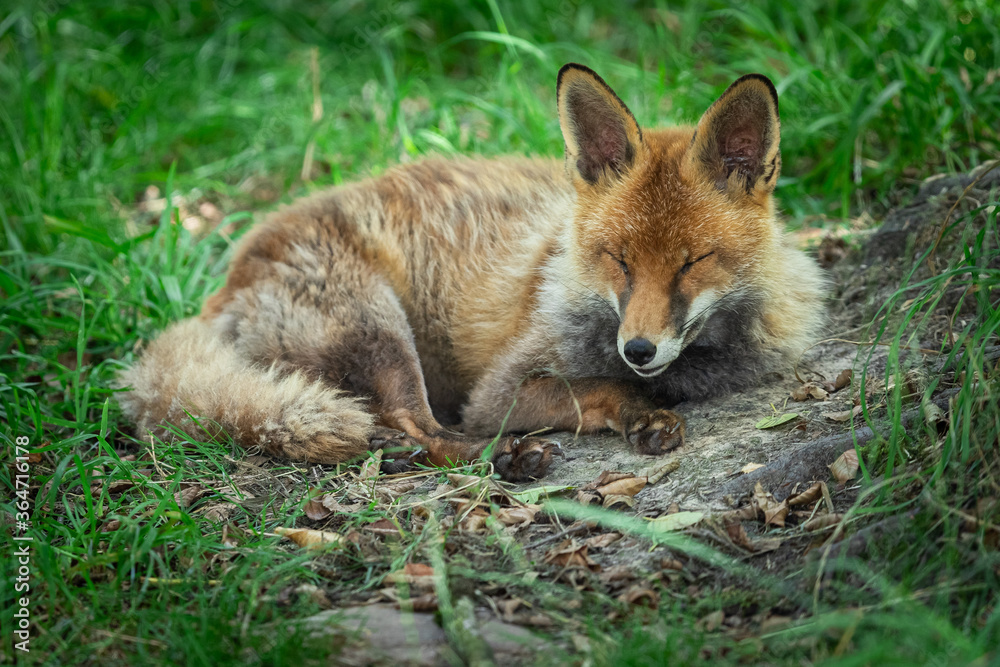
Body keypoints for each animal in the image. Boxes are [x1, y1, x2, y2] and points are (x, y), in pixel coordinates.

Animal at [117, 64, 825, 481]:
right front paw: (638, 410)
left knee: (398, 433)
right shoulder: (501, 388)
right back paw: (505, 457)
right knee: (421, 429)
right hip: (381, 334)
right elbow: (595, 389)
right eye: (617, 259)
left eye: (692, 262)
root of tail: (224, 281)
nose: (640, 349)